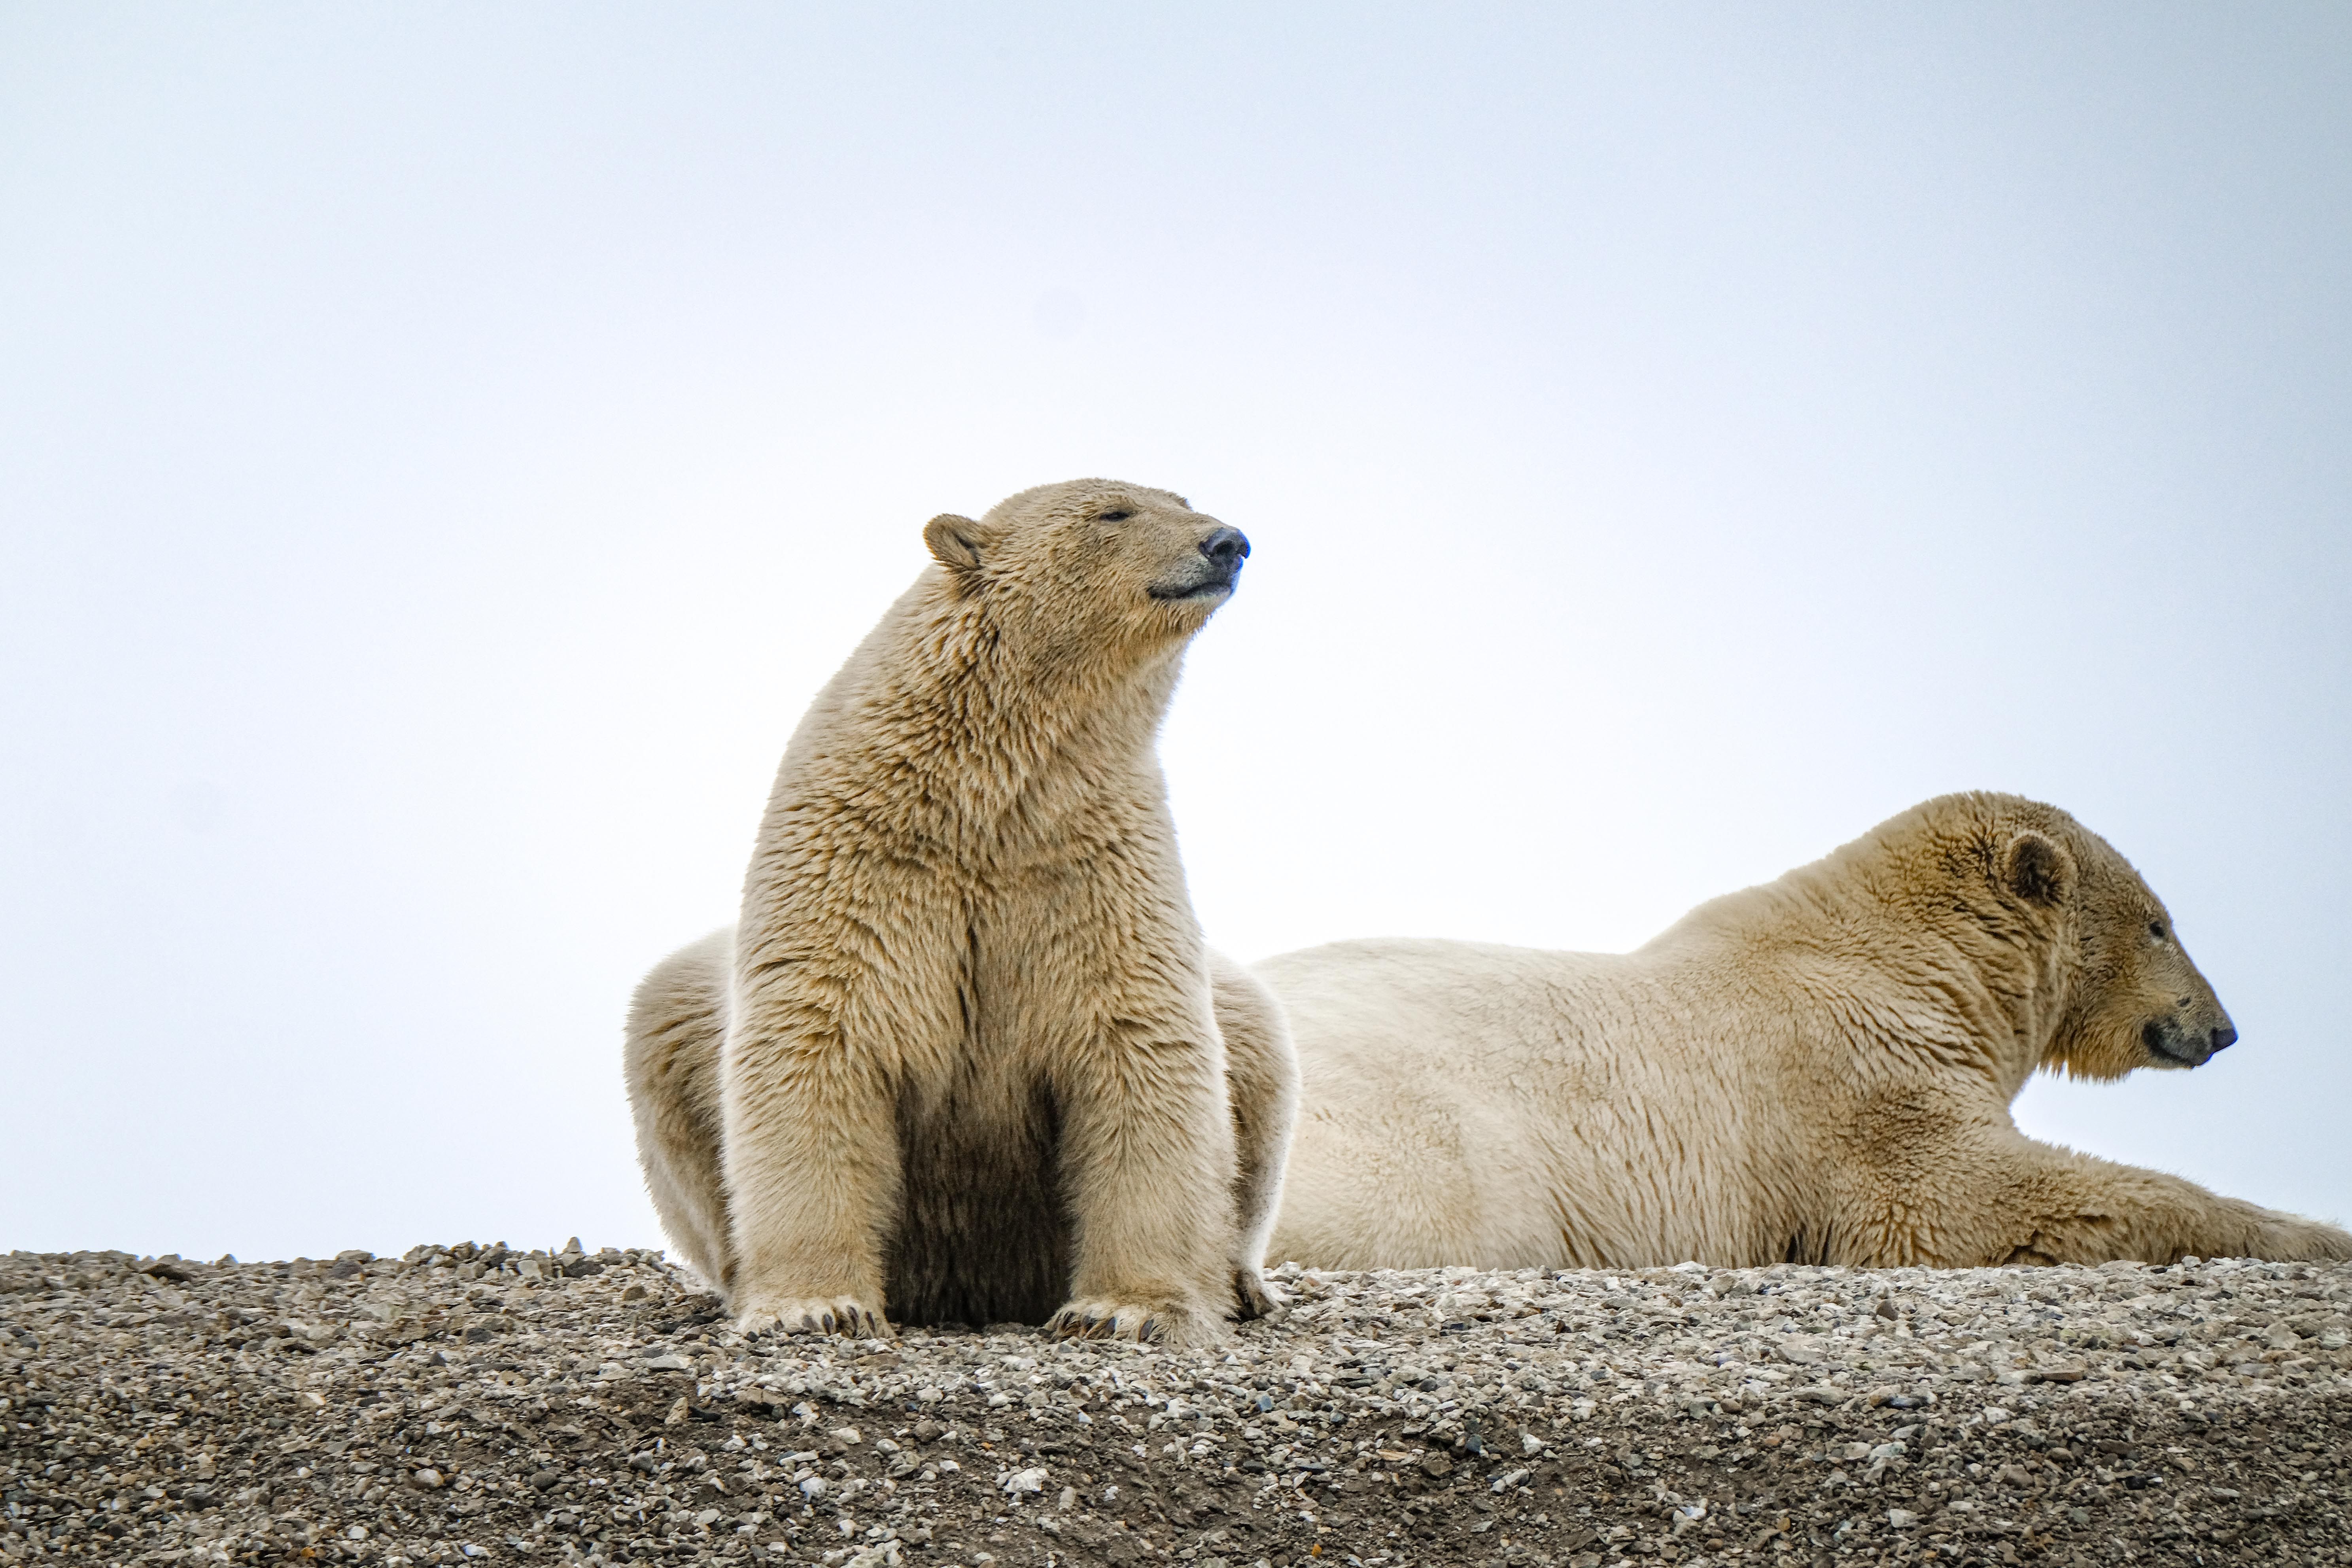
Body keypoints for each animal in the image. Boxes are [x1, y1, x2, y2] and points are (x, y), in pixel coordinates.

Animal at [624, 479, 1299, 1346]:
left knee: (1253, 1035)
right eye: (1113, 513)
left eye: (1181, 498)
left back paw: (1244, 1282)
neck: (985, 797)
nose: (1228, 543)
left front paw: (1124, 1309)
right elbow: (819, 1040)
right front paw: (816, 1304)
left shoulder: (1094, 864)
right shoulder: (862, 861)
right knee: (666, 1017)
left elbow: (1140, 1044)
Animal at [1260, 792, 2351, 1271]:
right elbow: (1966, 1197)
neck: (1912, 958)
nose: (2222, 1027)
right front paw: (2314, 1232)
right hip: (1435, 1146)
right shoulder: (1854, 1080)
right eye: (2161, 924)